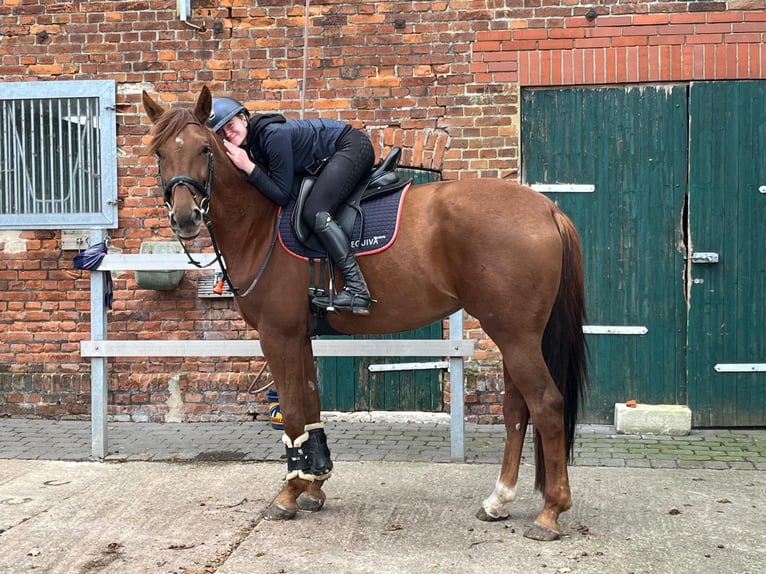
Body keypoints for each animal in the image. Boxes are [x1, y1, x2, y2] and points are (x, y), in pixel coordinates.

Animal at [142, 88, 588, 544]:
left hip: (515, 335)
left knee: (546, 404)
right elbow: (310, 406)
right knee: (518, 408)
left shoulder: (277, 335)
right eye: (160, 152)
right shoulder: (300, 337)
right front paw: (314, 483)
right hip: (514, 335)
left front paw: (289, 493)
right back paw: (499, 500)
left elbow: (294, 411)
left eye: (204, 149)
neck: (261, 222)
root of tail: (545, 208)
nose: (185, 217)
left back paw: (550, 512)